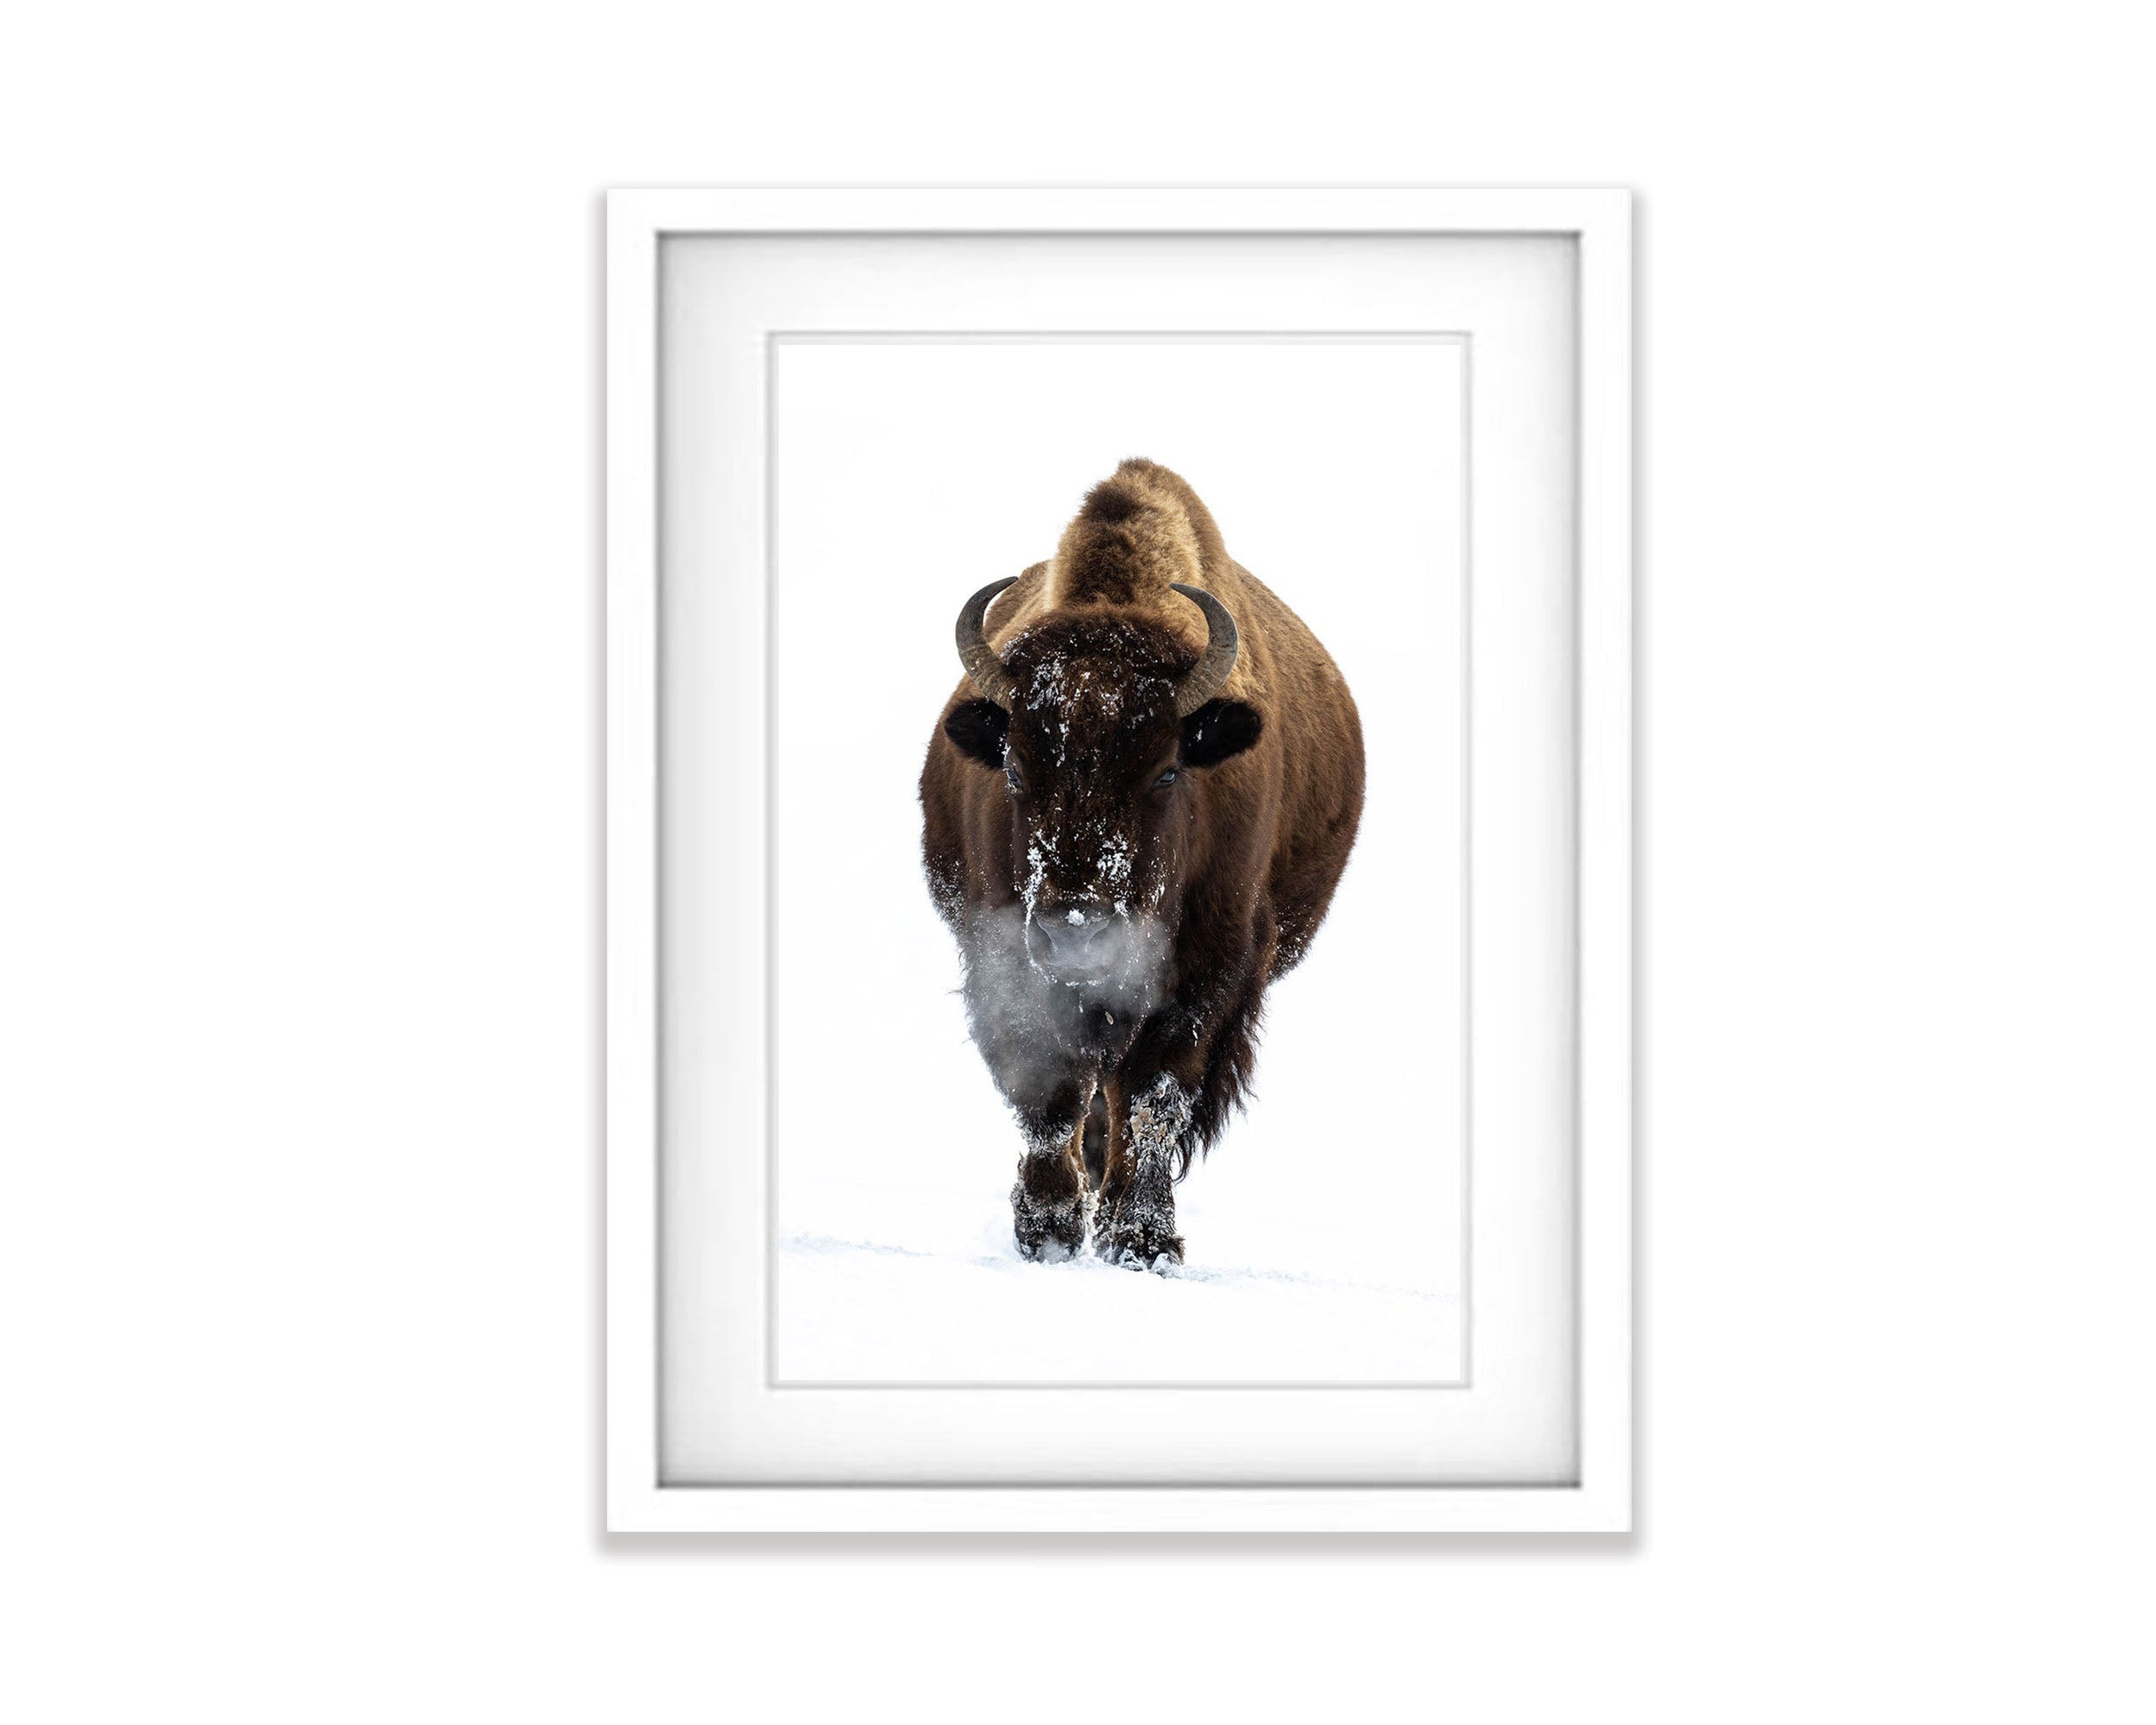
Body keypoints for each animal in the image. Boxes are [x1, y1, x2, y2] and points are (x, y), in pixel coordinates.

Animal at [919, 459, 1365, 1268]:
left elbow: (1157, 1095)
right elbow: (1047, 1088)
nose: (1075, 929)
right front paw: (1047, 1230)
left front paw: (1141, 1241)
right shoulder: (1003, 953)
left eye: (1166, 772)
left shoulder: (1210, 966)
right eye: (1015, 769)